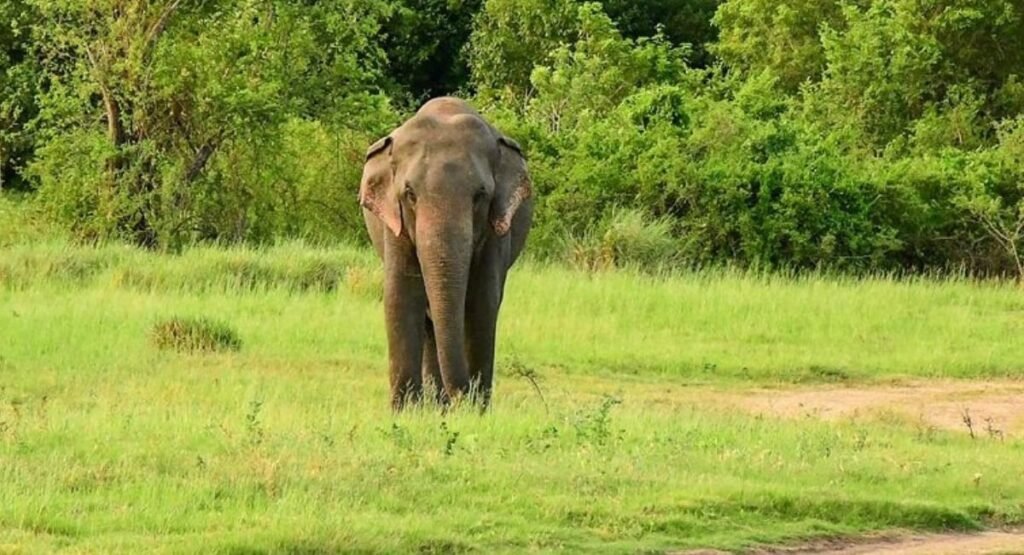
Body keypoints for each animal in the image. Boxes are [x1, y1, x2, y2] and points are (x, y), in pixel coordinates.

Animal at [358, 95, 536, 411]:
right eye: (410, 194)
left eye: (480, 196)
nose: (463, 397)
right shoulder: (395, 226)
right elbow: (400, 296)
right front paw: (406, 411)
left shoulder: (495, 232)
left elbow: (482, 302)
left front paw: (475, 411)